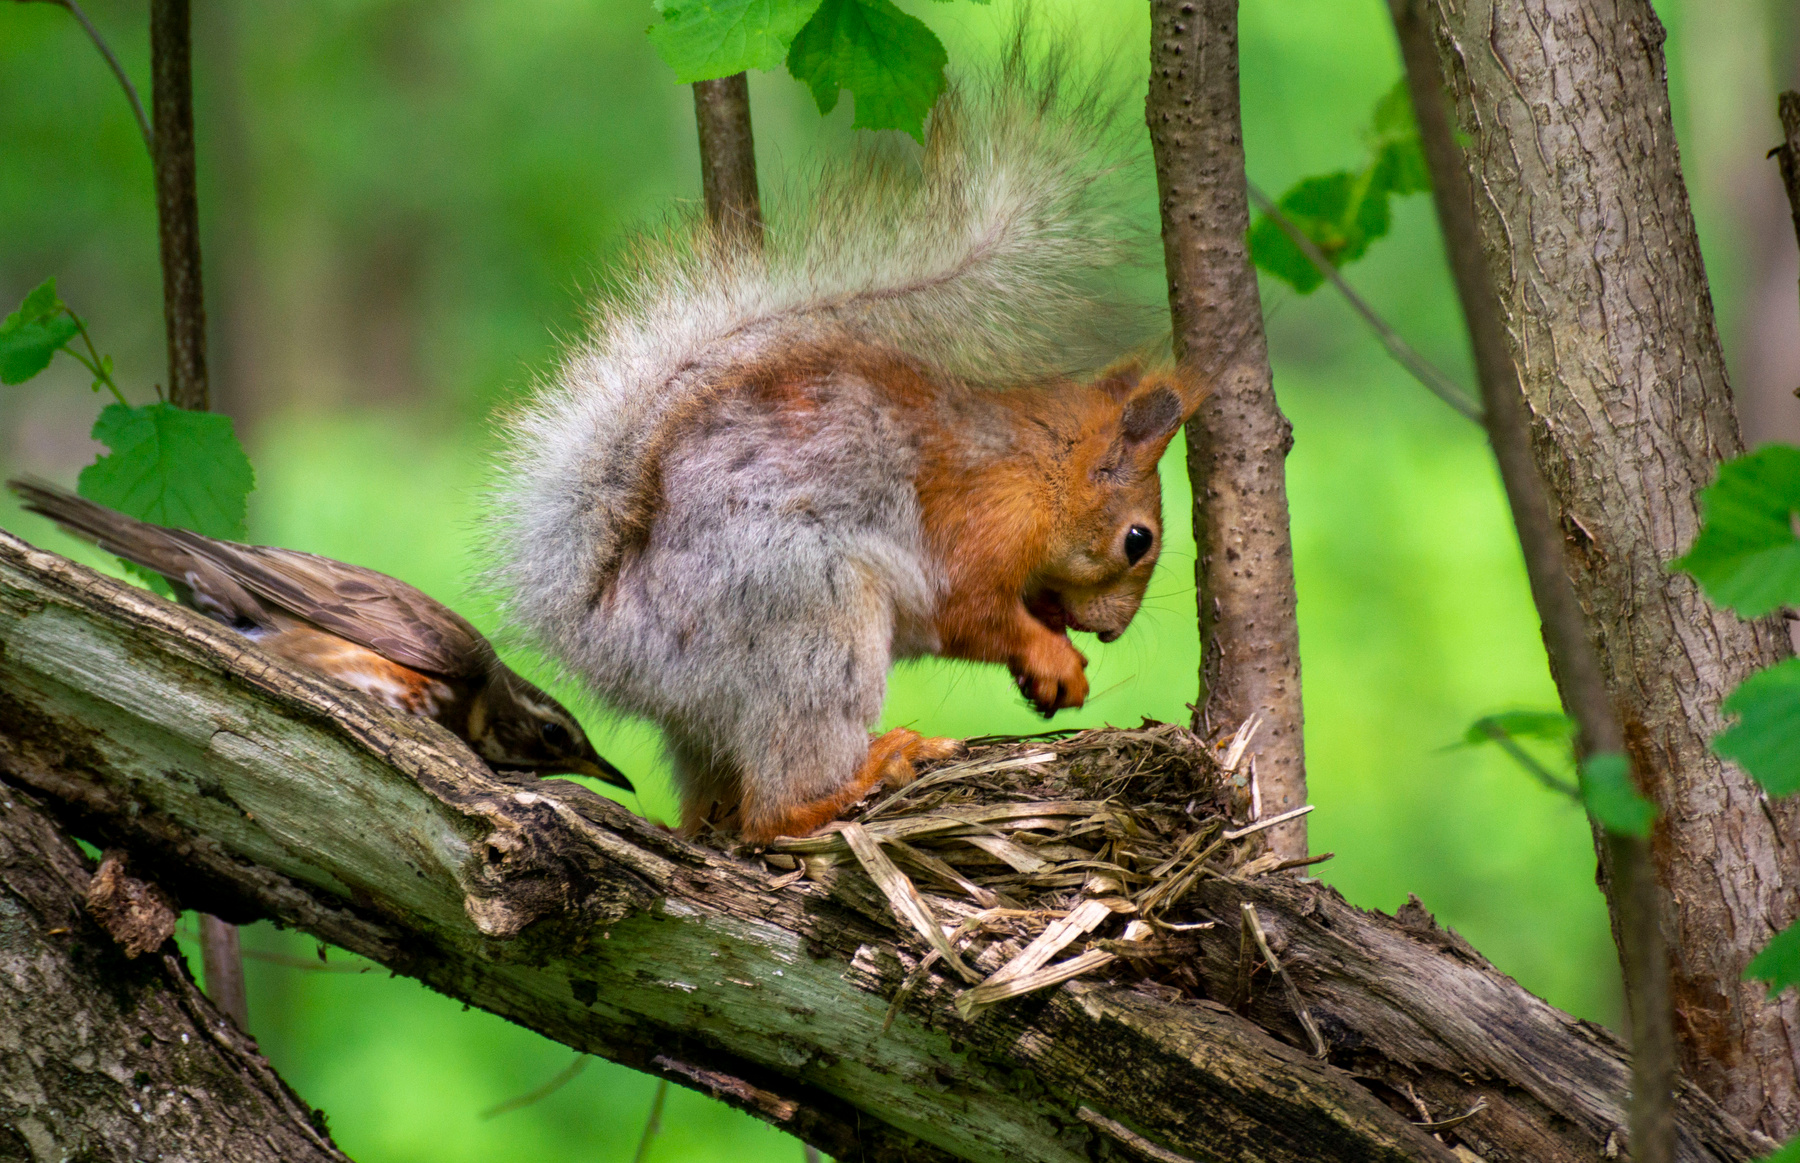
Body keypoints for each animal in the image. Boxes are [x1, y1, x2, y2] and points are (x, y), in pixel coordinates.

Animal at [491, 45, 1204, 844]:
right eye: (1138, 539)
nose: (1112, 632)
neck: (1039, 462)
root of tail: (603, 631)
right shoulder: (983, 521)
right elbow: (969, 613)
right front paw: (1054, 656)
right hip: (812, 616)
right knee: (773, 809)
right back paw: (861, 774)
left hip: (709, 713)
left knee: (720, 798)